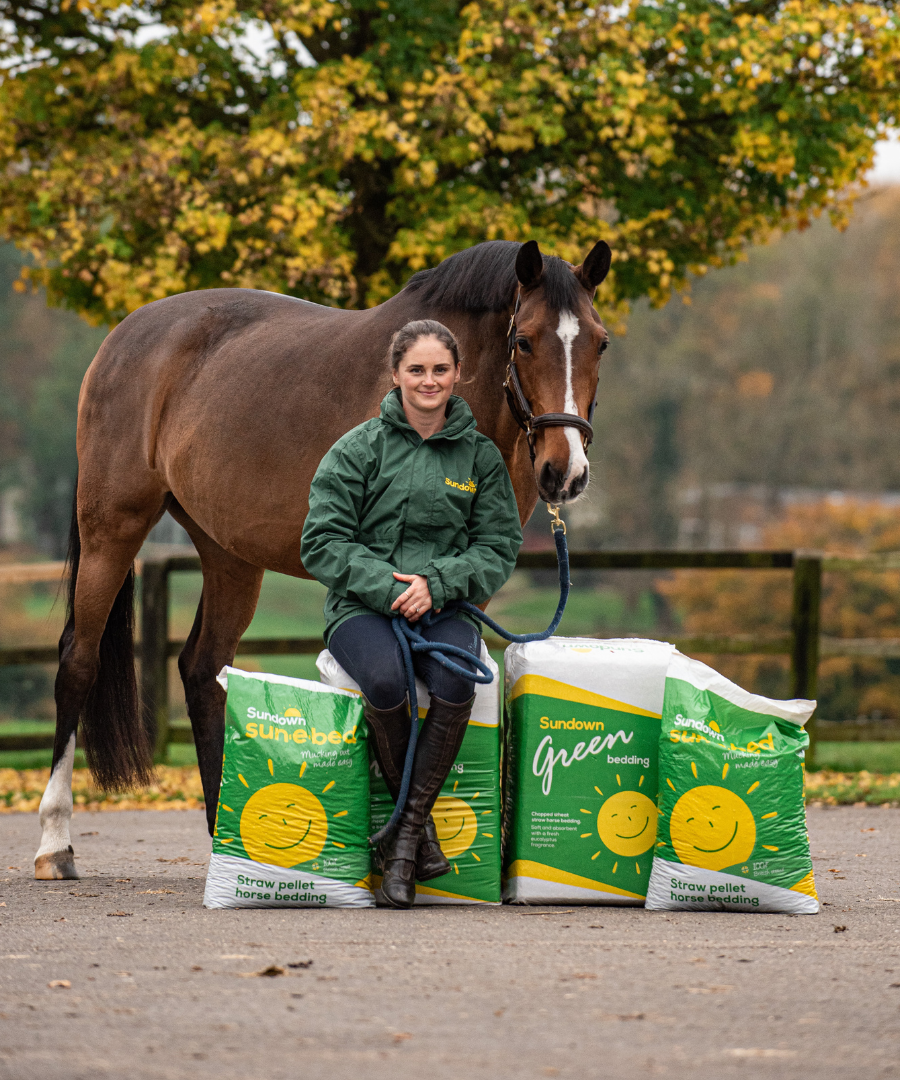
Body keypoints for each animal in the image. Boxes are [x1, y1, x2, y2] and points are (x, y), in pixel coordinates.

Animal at [35, 236, 609, 876]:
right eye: (524, 340)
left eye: (600, 341)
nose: (565, 472)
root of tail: (123, 337)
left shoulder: (466, 583)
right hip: (113, 526)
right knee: (78, 662)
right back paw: (55, 843)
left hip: (229, 553)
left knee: (202, 669)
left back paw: (223, 836)